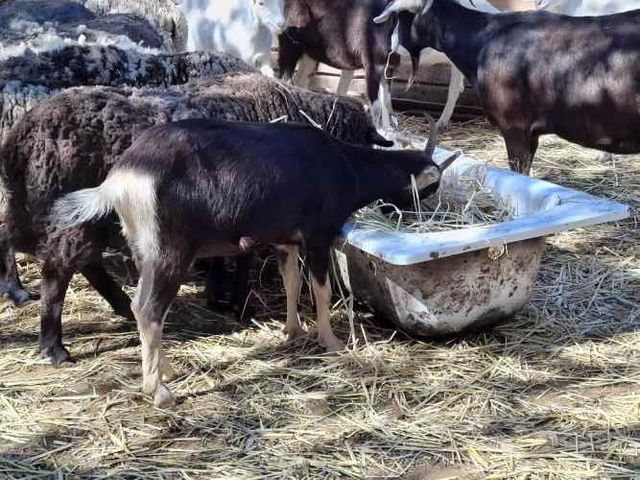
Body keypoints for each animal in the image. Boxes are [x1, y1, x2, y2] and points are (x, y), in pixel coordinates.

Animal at [0, 73, 391, 366]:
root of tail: (24, 133)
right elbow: (244, 256)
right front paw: (237, 302)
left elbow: (228, 254)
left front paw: (219, 295)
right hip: (69, 210)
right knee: (59, 267)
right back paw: (53, 345)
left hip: (44, 204)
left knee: (43, 246)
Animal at [54, 116, 458, 407]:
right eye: (432, 185)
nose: (423, 217)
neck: (343, 164)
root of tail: (121, 178)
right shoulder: (317, 236)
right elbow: (321, 290)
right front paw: (332, 342)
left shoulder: (285, 241)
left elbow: (292, 281)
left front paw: (293, 332)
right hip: (168, 252)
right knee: (148, 308)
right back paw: (160, 393)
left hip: (143, 248)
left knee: (148, 308)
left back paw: (162, 369)